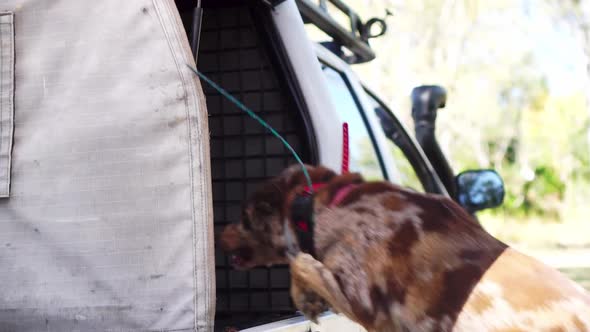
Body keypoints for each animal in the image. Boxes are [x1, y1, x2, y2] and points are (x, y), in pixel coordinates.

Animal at [220, 165, 588, 330]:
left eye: (243, 217)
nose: (221, 231)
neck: (319, 207)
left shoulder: (368, 307)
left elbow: (302, 261)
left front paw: (306, 298)